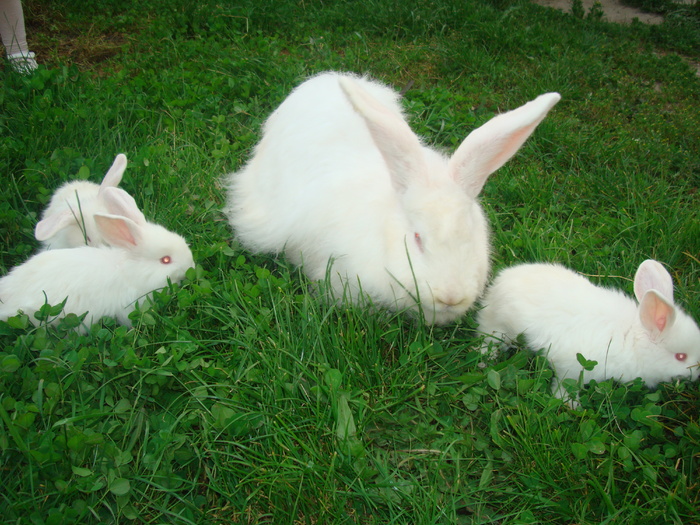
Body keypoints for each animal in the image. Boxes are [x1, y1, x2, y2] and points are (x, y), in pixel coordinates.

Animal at [476, 260, 700, 396]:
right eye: (681, 357)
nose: (697, 374)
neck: (633, 340)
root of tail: (500, 281)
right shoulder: (573, 368)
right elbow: (566, 385)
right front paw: (567, 403)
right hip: (500, 326)